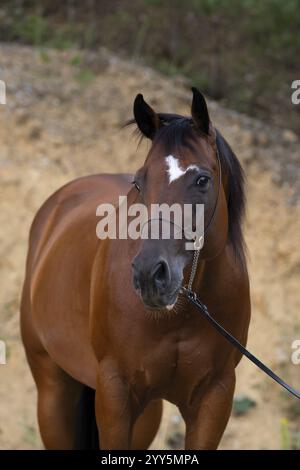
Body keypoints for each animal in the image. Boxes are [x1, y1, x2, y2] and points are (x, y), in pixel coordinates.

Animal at [21, 88, 251, 452]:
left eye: (202, 180)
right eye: (140, 183)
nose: (149, 275)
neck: (181, 316)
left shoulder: (215, 398)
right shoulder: (115, 394)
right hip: (53, 391)